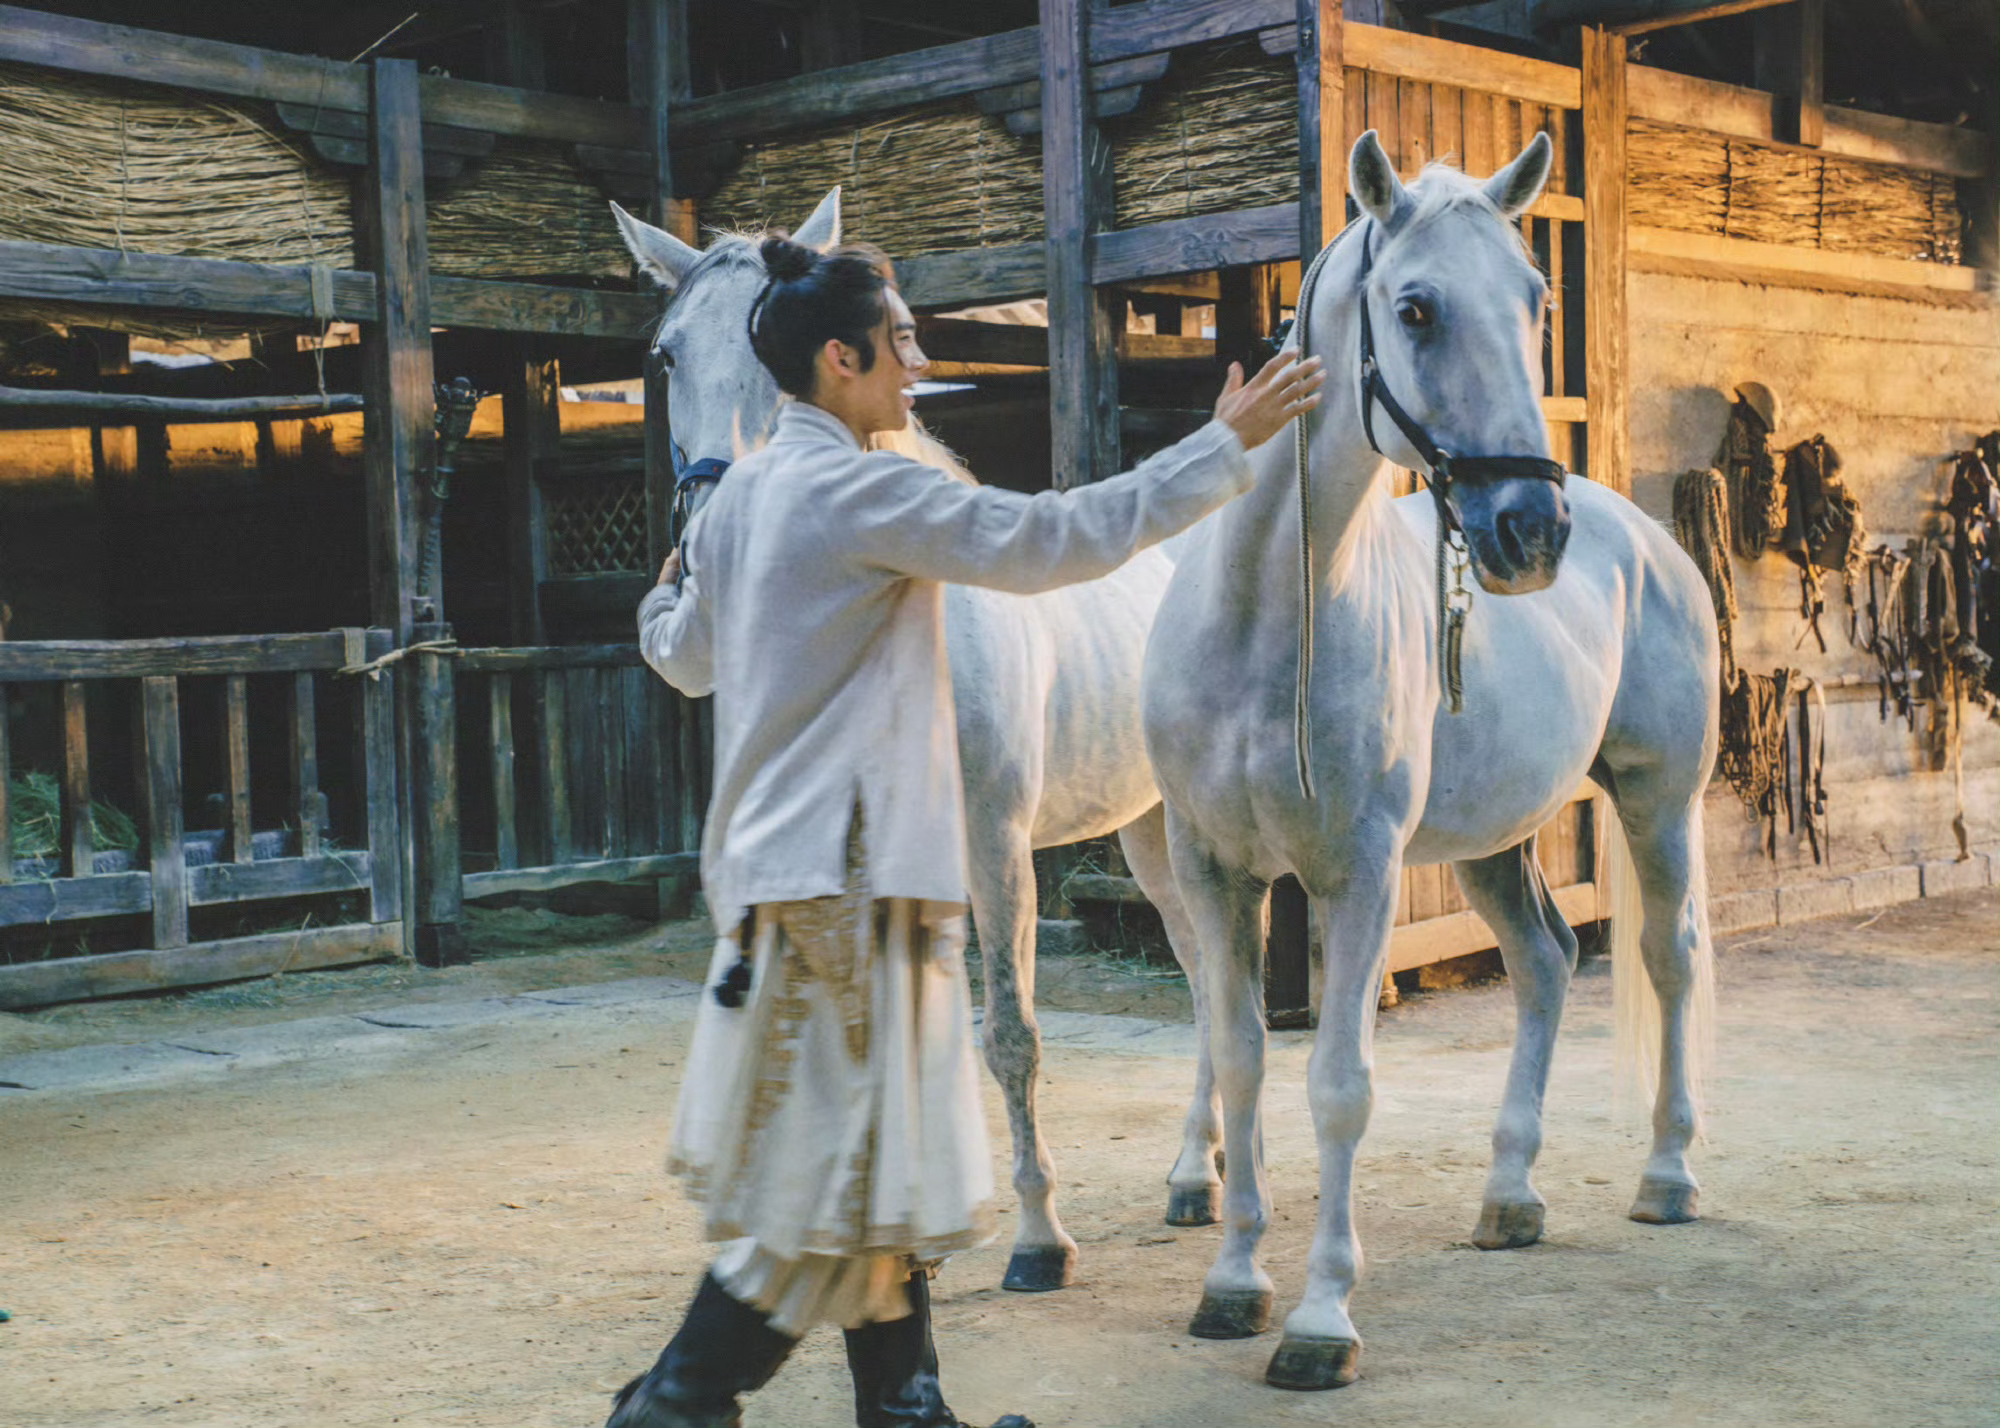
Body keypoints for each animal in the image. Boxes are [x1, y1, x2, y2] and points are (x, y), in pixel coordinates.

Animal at [608, 189, 1216, 1288]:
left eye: (766, 344)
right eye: (666, 354)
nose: (711, 550)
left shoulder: (994, 845)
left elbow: (1009, 1032)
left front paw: (1037, 1236)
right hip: (1146, 828)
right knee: (1197, 970)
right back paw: (1196, 1173)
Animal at [1152, 131, 1728, 1376]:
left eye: (1534, 300)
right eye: (1412, 308)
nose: (1529, 532)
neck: (1263, 623)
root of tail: (1638, 535)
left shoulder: (1357, 875)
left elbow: (1338, 1086)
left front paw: (1319, 1321)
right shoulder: (1214, 873)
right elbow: (1238, 1063)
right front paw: (1232, 1283)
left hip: (1657, 804)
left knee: (1665, 960)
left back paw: (1665, 1175)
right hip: (1490, 844)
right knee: (1546, 961)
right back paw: (1508, 1197)